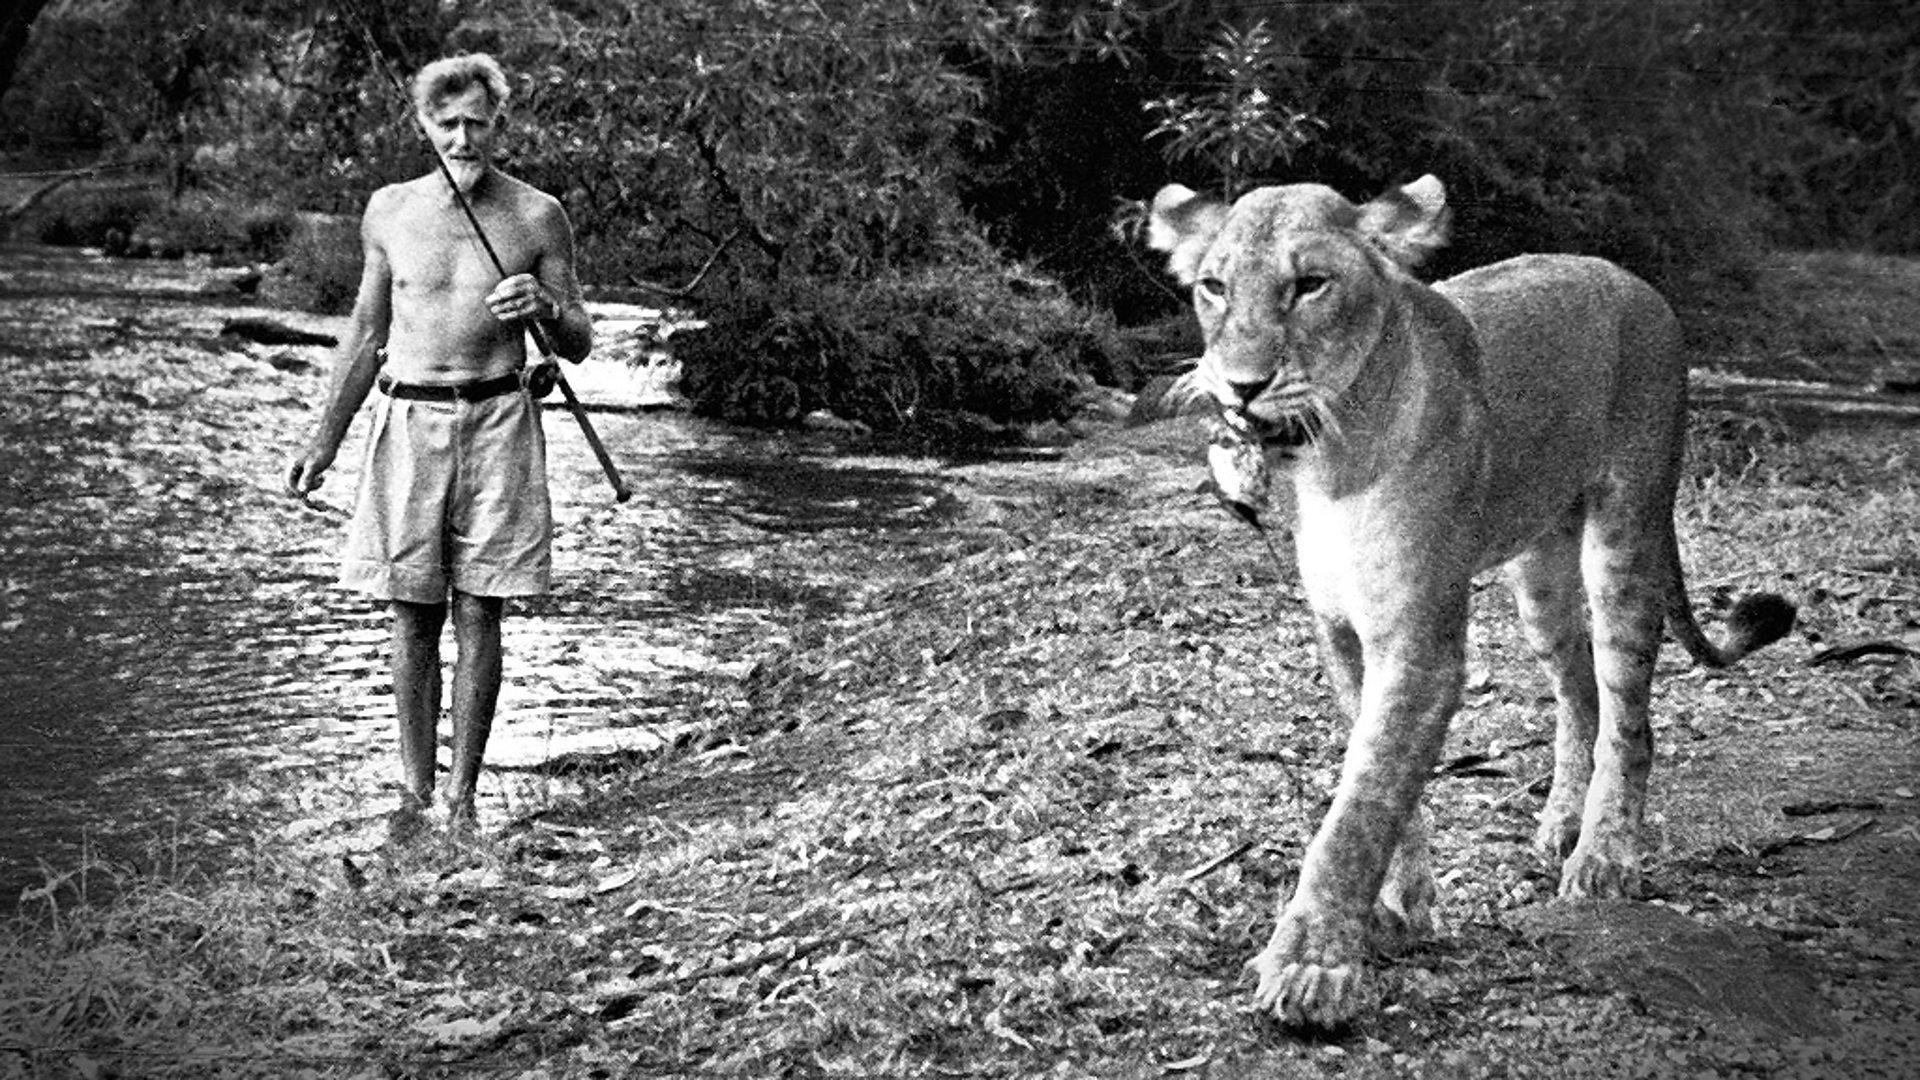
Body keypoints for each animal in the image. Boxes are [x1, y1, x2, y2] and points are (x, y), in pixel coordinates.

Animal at [1145, 175, 1796, 1027]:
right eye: (1213, 287)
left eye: (1310, 284)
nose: (1240, 385)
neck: (1331, 461)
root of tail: (1630, 278)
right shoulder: (1342, 632)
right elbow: (1384, 782)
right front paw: (1402, 907)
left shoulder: (1419, 641)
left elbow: (1361, 804)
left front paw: (1312, 964)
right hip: (1539, 576)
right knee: (1580, 691)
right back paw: (1562, 824)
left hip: (1625, 532)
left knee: (1628, 714)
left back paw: (1603, 856)